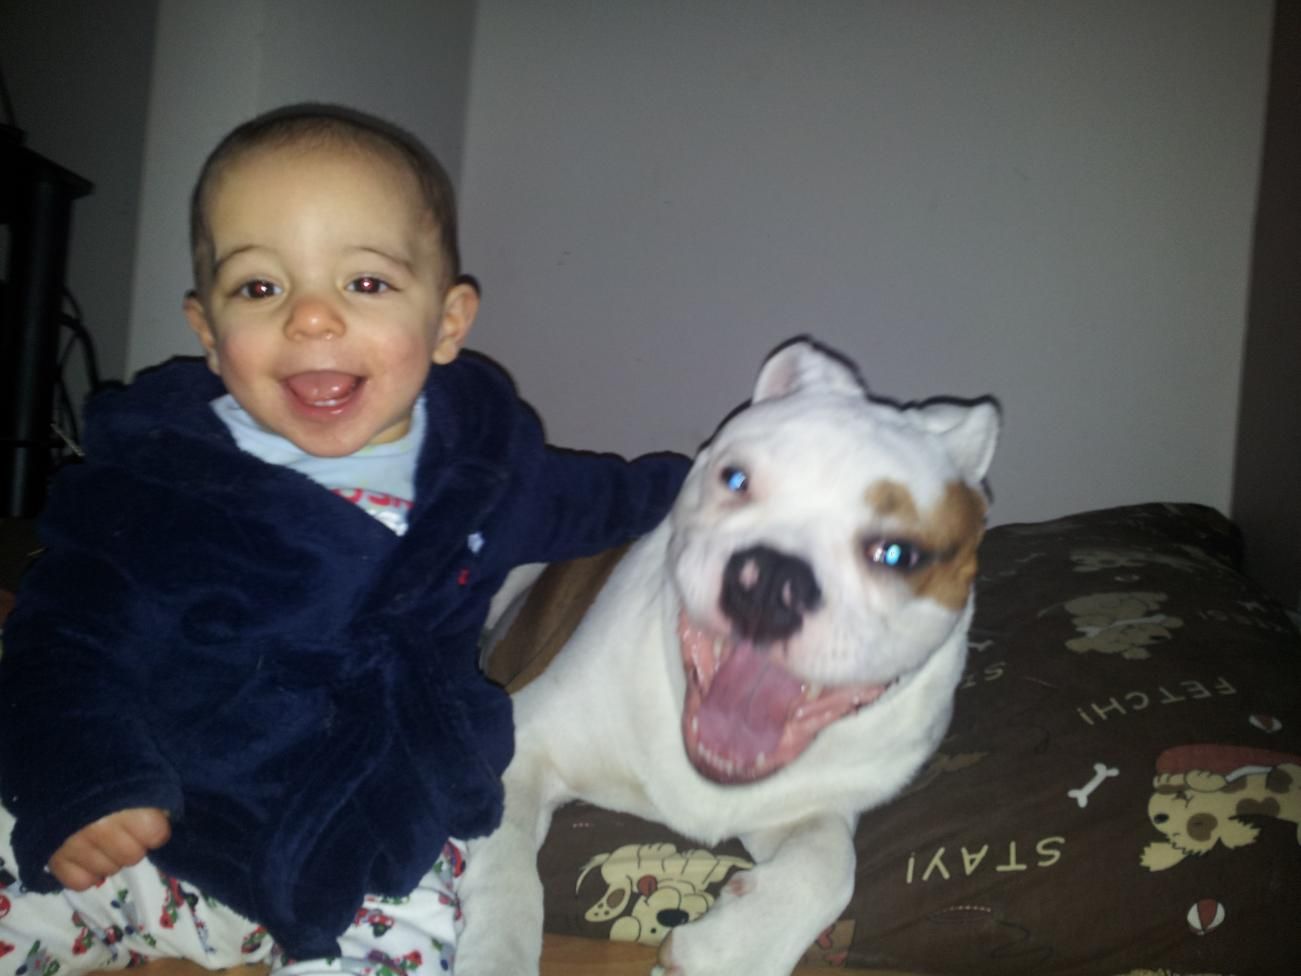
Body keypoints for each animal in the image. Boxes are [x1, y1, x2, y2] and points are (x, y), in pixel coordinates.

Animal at [457, 338, 1000, 976]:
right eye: (735, 479)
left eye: (897, 554)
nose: (770, 581)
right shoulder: (522, 743)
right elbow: (506, 875)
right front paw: (496, 952)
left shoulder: (809, 810)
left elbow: (830, 865)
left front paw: (727, 948)